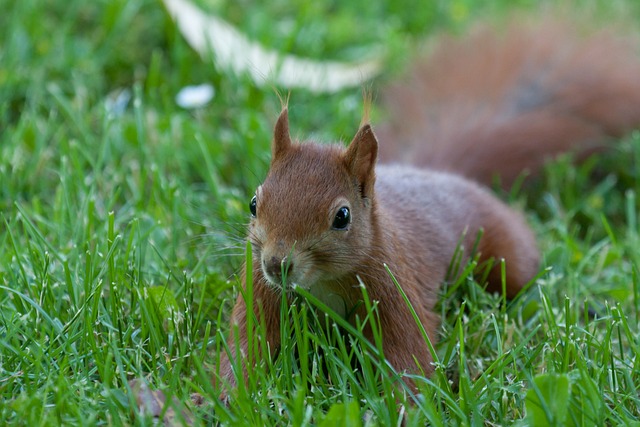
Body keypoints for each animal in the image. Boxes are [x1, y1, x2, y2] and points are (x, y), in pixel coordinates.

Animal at [214, 17, 640, 398]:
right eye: (254, 203)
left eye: (342, 217)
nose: (276, 265)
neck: (321, 283)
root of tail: (438, 173)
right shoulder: (261, 293)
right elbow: (247, 350)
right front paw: (223, 401)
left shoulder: (395, 293)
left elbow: (408, 355)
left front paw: (401, 408)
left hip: (507, 255)